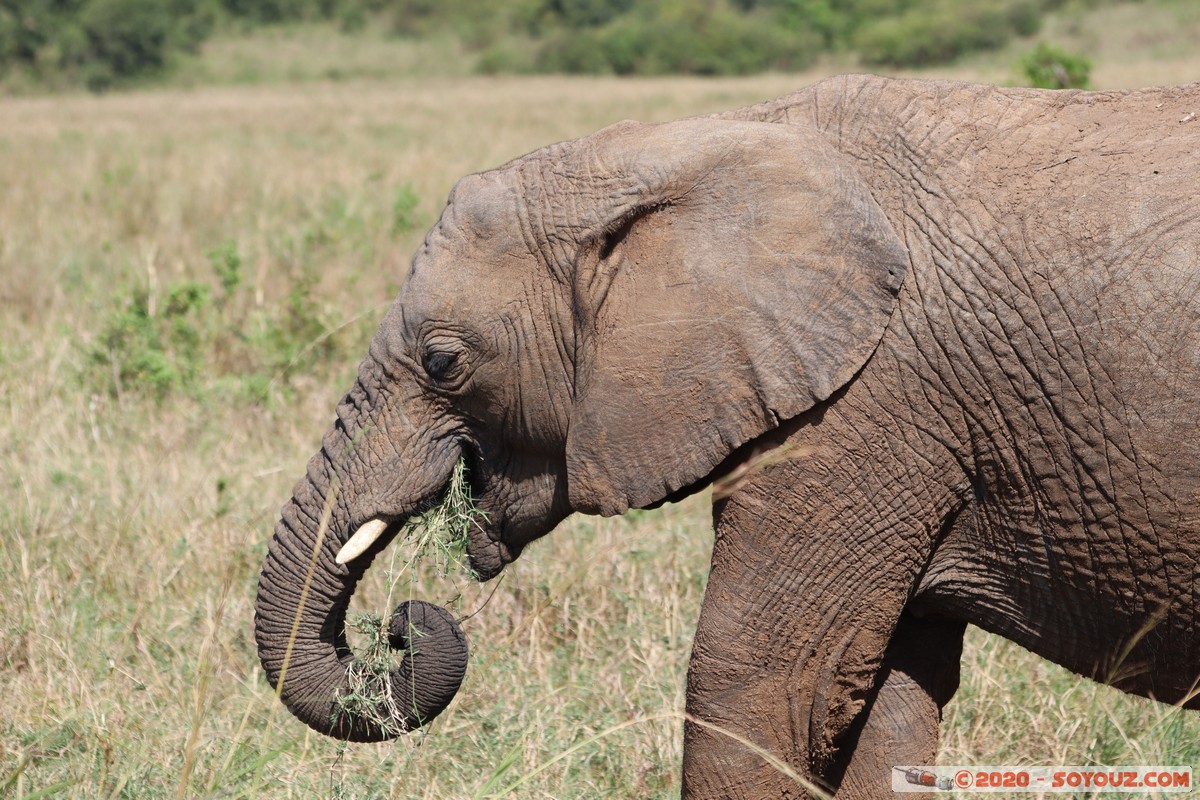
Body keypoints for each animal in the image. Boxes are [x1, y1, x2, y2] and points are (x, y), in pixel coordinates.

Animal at [255, 71, 1200, 796]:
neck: (704, 143)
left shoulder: (868, 402)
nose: (404, 621)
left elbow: (749, 683)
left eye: (443, 362)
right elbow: (884, 698)